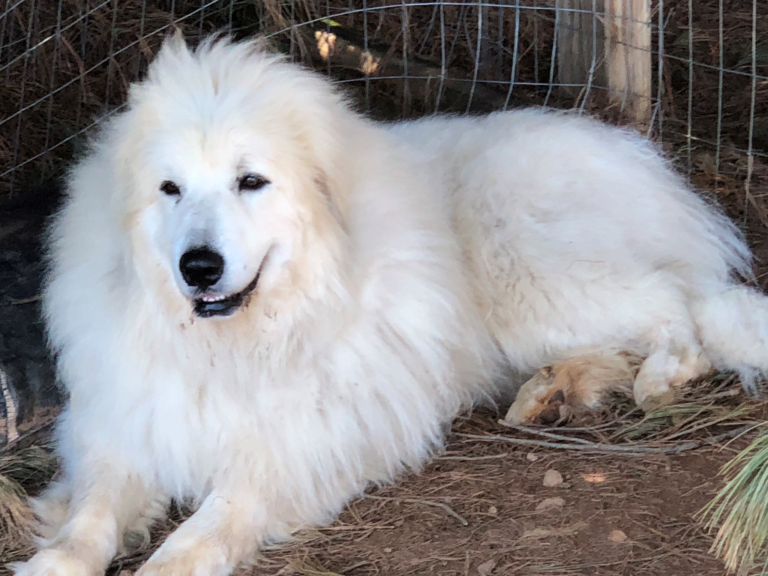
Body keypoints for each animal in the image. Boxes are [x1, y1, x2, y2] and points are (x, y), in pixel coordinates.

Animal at [15, 35, 768, 576]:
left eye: (251, 181)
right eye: (169, 189)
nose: (197, 268)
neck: (240, 343)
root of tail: (632, 153)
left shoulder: (292, 450)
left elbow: (202, 530)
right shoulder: (122, 429)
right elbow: (89, 520)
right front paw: (53, 559)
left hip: (527, 275)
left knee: (679, 303)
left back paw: (662, 376)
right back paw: (550, 393)